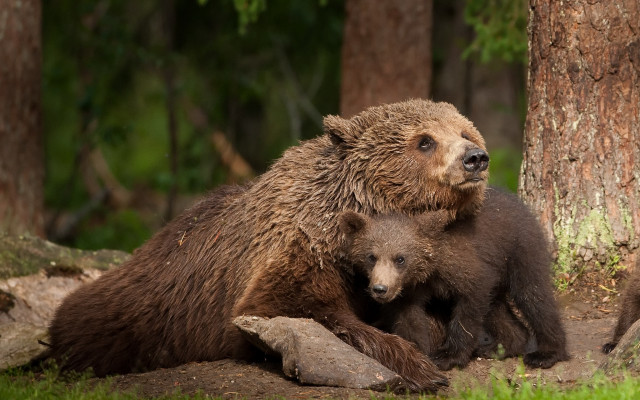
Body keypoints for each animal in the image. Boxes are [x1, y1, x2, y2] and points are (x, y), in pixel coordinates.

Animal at [48, 99, 490, 393]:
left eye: (465, 131)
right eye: (425, 141)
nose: (476, 158)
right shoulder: (302, 252)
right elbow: (289, 309)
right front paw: (420, 367)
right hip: (138, 310)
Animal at [338, 187, 569, 371]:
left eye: (400, 258)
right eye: (371, 256)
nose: (380, 289)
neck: (429, 270)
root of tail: (520, 204)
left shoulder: (464, 266)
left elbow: (469, 306)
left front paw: (448, 356)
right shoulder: (409, 291)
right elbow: (409, 318)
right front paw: (417, 351)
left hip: (520, 250)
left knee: (533, 295)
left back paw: (546, 353)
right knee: (497, 308)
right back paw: (500, 347)